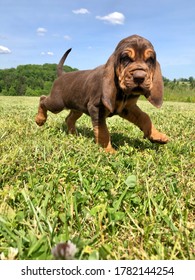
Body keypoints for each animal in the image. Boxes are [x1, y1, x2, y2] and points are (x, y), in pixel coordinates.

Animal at [35, 35, 169, 153]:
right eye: (125, 58)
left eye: (150, 60)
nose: (139, 77)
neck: (124, 93)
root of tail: (62, 75)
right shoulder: (96, 108)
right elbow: (103, 131)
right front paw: (109, 151)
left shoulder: (128, 108)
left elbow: (145, 117)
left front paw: (156, 135)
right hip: (57, 103)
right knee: (43, 99)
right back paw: (40, 119)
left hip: (77, 107)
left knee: (69, 119)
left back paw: (73, 134)